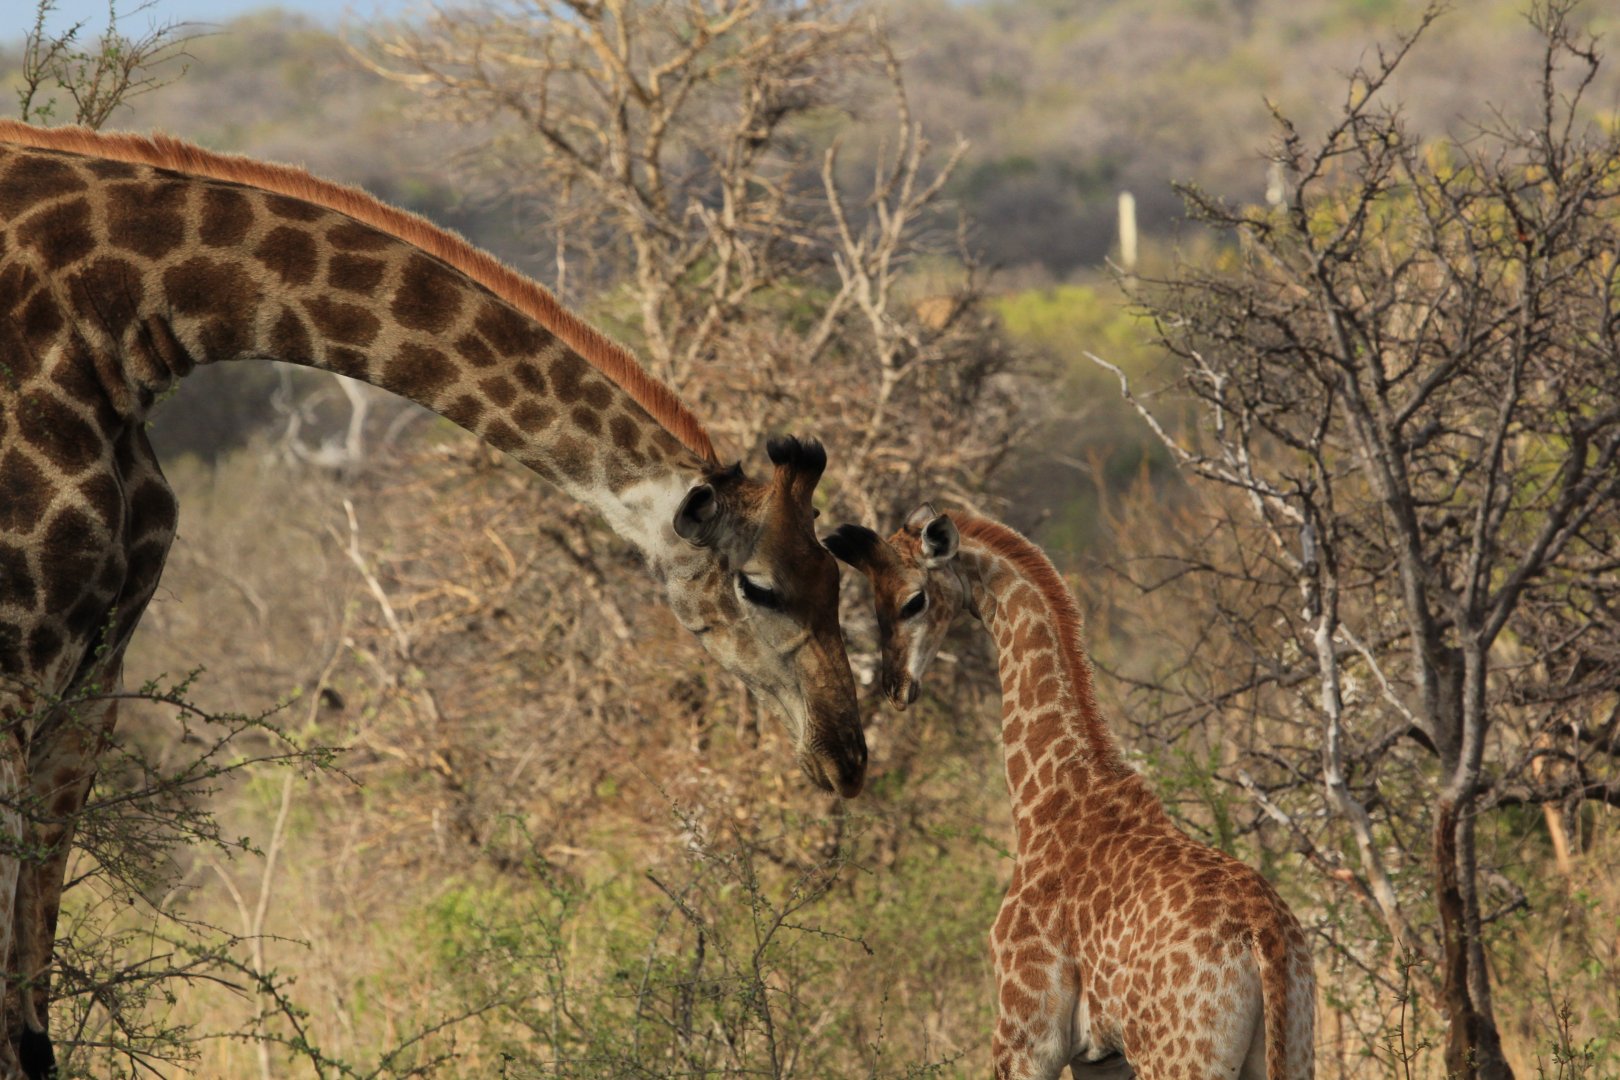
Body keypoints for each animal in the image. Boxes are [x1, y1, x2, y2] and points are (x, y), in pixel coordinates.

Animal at [0, 119, 868, 1078]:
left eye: (838, 578)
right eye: (760, 586)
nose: (847, 755)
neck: (125, 309)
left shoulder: (92, 676)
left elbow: (31, 1003)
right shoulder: (13, 658)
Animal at [826, 505, 1314, 1080]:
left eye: (913, 600)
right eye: (873, 600)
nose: (896, 687)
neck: (1051, 795)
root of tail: (1267, 939)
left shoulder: (1027, 1035)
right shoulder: (1102, 1056)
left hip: (1180, 1059)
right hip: (1293, 1047)